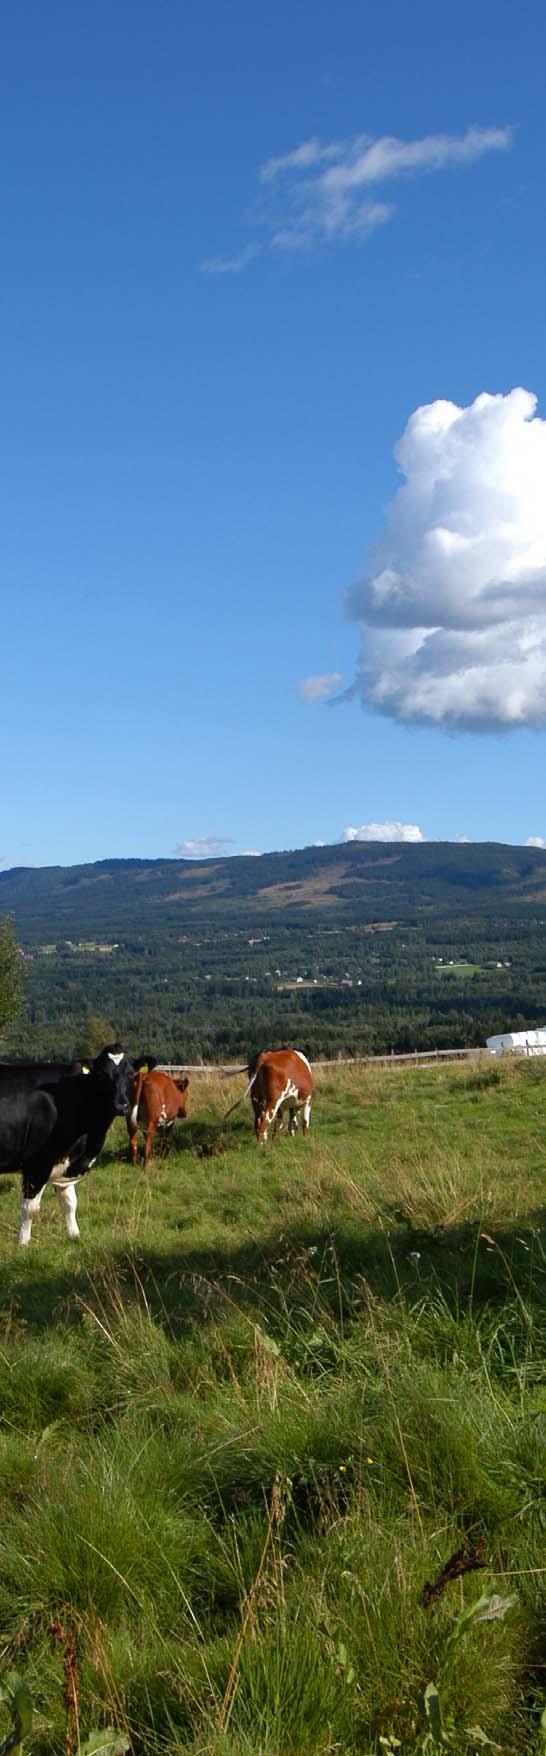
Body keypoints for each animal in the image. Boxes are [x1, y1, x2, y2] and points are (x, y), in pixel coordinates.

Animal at [0, 1039, 136, 1250]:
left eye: (131, 1074)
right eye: (102, 1075)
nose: (120, 1106)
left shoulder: (65, 1163)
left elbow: (70, 1203)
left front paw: (75, 1236)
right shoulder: (37, 1163)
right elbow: (30, 1208)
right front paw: (23, 1243)